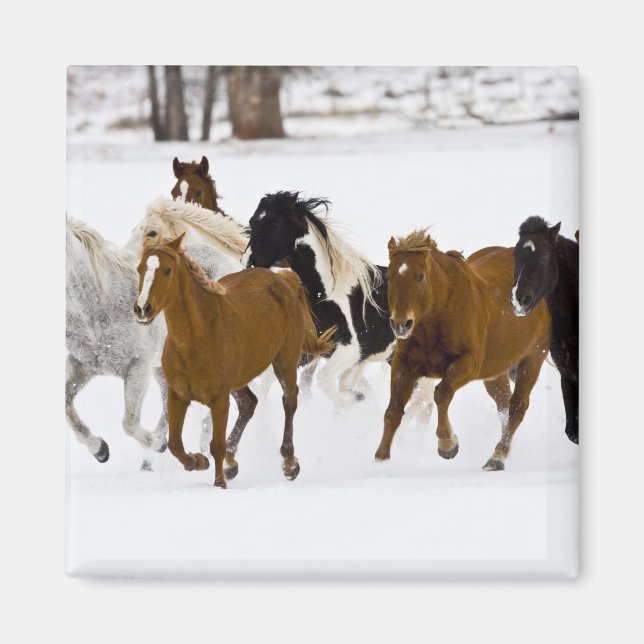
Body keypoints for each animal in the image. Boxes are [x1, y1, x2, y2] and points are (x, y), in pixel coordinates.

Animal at [134, 234, 335, 488]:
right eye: (140, 268)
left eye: (168, 270)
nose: (142, 308)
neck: (196, 339)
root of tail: (284, 278)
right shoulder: (177, 395)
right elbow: (174, 445)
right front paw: (199, 461)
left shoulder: (219, 399)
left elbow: (215, 446)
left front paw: (219, 483)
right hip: (240, 379)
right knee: (249, 403)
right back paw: (232, 462)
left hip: (285, 362)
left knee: (289, 400)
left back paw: (289, 464)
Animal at [242, 191, 436, 417]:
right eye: (252, 221)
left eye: (274, 223)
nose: (248, 262)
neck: (325, 294)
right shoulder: (310, 353)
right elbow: (269, 383)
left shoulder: (350, 351)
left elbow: (325, 381)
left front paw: (349, 406)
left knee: (424, 401)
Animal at [375, 230, 551, 471]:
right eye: (389, 277)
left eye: (420, 276)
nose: (401, 324)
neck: (439, 313)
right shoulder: (404, 364)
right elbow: (393, 410)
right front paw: (381, 459)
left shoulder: (467, 363)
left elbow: (441, 393)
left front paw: (447, 444)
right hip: (496, 372)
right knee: (503, 404)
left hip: (533, 357)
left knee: (517, 407)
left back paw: (497, 457)